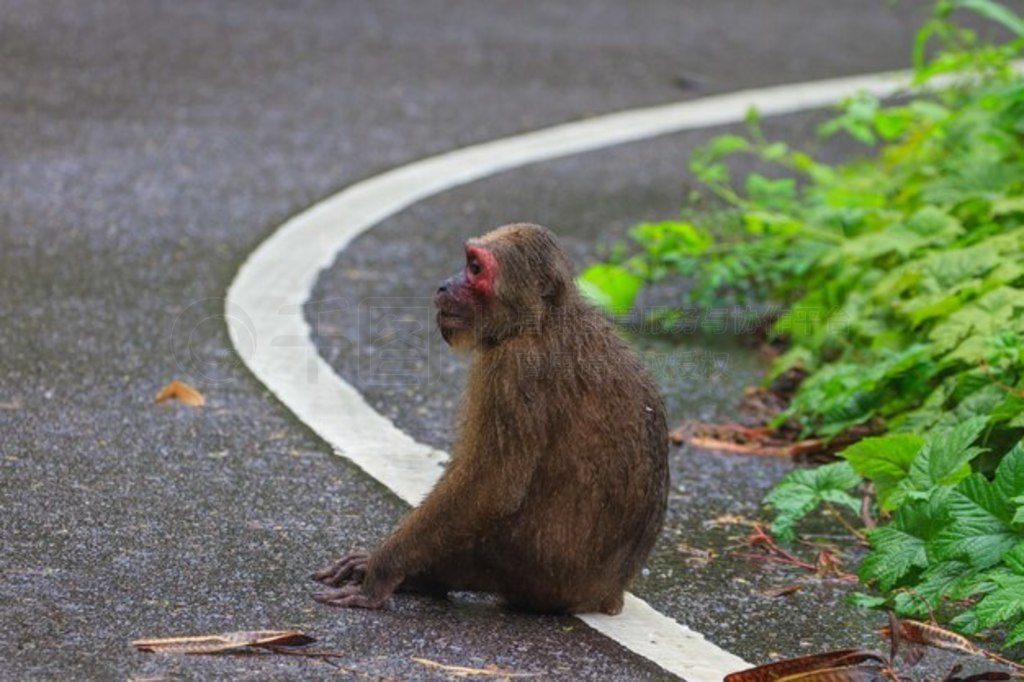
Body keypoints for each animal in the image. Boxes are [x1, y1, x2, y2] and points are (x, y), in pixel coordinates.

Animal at [311, 224, 667, 614]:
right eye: (467, 261)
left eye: (475, 269)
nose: (444, 285)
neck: (538, 321)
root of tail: (607, 595)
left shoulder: (515, 368)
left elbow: (492, 486)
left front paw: (381, 571)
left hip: (536, 574)